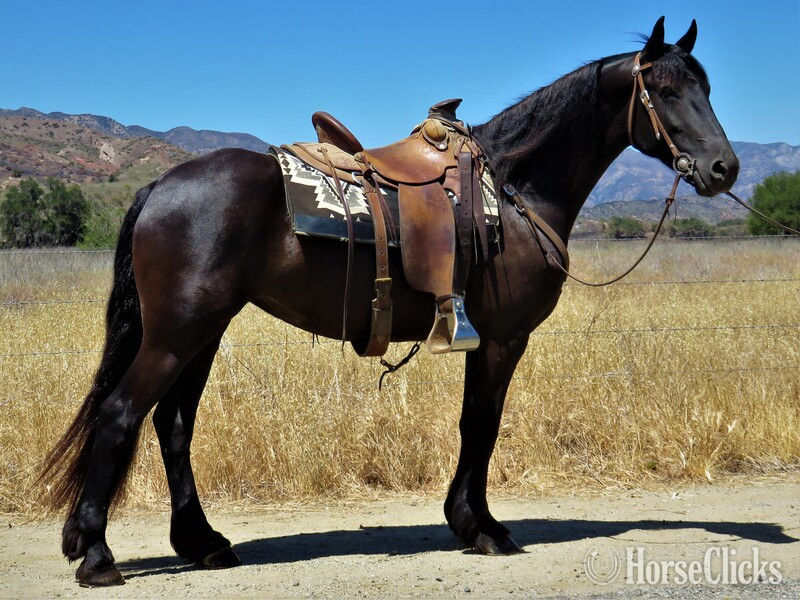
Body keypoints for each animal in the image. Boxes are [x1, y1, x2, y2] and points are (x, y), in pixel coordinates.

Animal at [42, 17, 738, 586]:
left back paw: (201, 542)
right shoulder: (504, 338)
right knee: (123, 413)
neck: (515, 189)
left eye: (706, 87)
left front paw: (467, 521)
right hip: (176, 333)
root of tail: (161, 184)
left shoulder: (487, 339)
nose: (724, 169)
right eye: (666, 91)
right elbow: (481, 426)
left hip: (201, 332)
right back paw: (98, 555)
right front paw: (483, 528)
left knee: (173, 424)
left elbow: (474, 424)